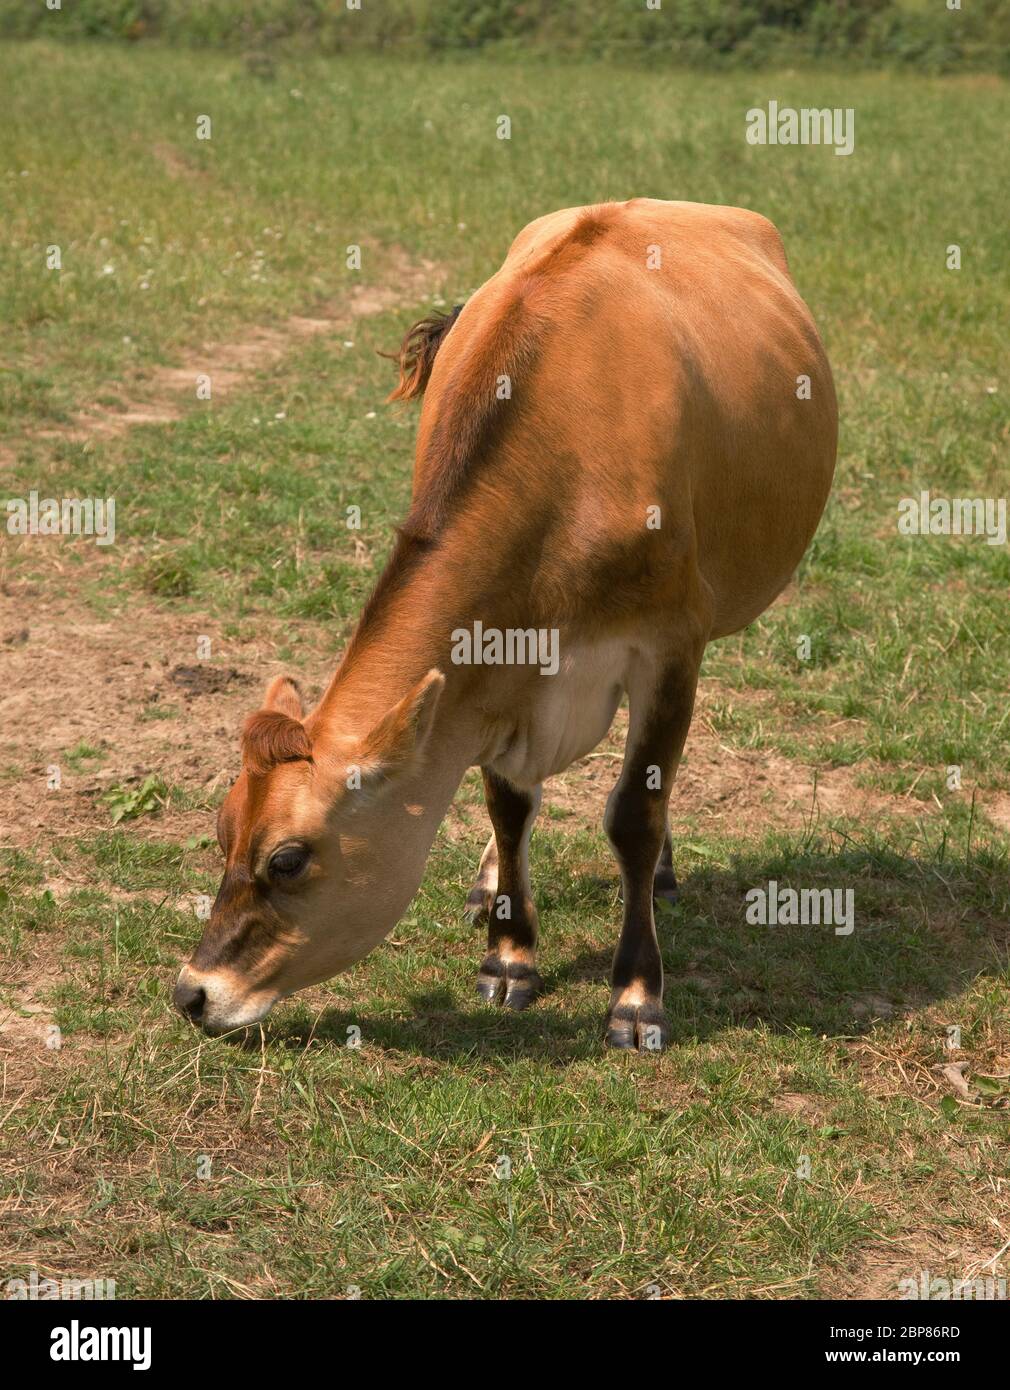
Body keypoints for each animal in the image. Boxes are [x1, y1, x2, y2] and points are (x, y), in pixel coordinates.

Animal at [174, 198, 837, 1050]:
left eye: (287, 859)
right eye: (223, 829)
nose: (192, 993)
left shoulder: (669, 645)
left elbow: (634, 811)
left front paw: (635, 995)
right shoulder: (494, 662)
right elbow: (508, 803)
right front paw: (509, 952)